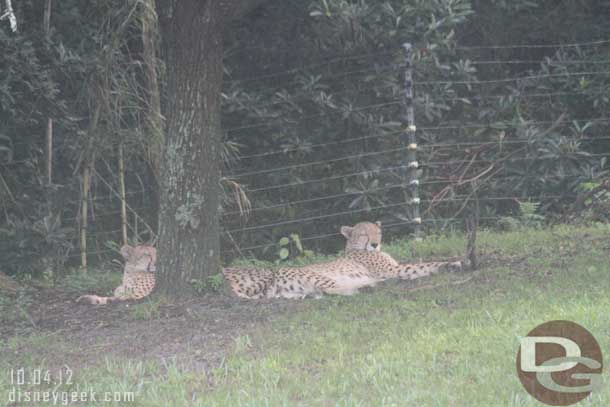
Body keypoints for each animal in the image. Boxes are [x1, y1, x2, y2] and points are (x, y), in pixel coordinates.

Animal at [223, 223, 460, 300]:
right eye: (363, 234)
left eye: (378, 232)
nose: (375, 244)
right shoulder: (395, 270)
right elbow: (425, 265)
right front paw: (452, 263)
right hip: (319, 276)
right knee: (337, 289)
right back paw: (370, 286)